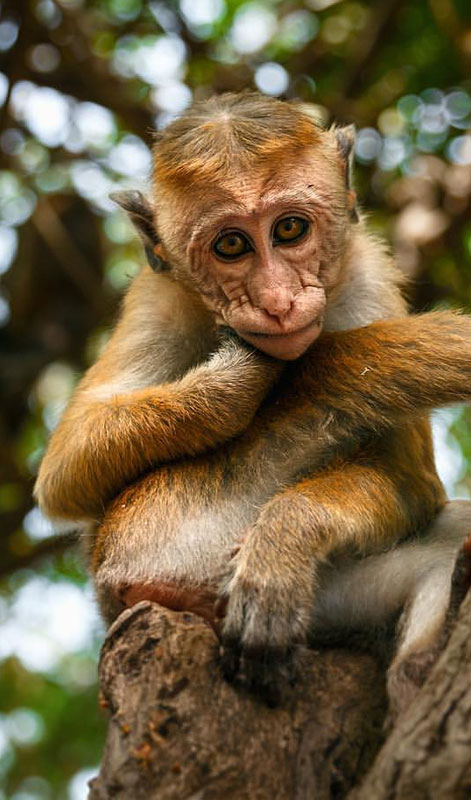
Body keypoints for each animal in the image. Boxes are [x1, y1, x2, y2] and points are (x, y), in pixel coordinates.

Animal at [34, 93, 471, 713]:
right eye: (232, 245)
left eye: (289, 229)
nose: (277, 302)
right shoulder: (156, 299)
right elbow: (65, 469)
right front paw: (242, 374)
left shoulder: (370, 282)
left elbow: (409, 476)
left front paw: (289, 534)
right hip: (162, 526)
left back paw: (420, 663)